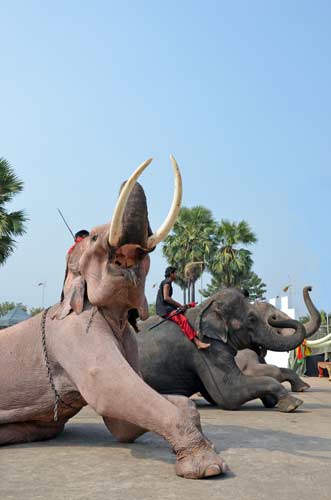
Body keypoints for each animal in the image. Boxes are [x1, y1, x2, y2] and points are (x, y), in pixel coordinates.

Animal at [0, 159, 228, 480]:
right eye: (95, 237)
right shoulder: (74, 333)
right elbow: (109, 391)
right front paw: (209, 467)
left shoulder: (129, 337)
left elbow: (123, 424)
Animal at [138, 288, 322, 412]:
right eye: (252, 319)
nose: (310, 287)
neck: (207, 306)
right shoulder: (206, 349)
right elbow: (229, 394)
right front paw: (293, 403)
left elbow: (213, 395)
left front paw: (273, 400)